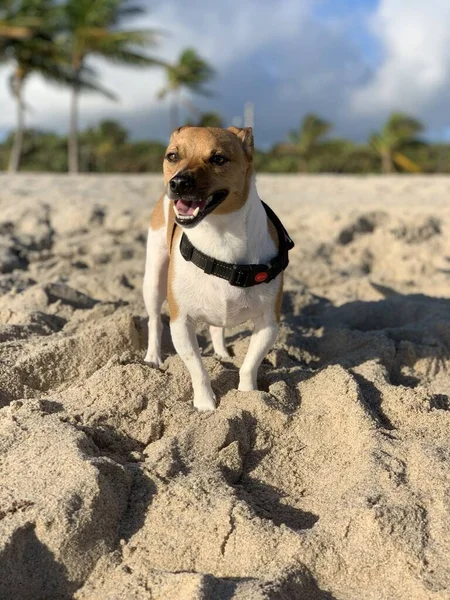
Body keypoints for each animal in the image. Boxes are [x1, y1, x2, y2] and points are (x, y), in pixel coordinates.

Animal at [142, 124, 294, 410]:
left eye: (218, 159)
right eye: (172, 156)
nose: (178, 182)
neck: (221, 235)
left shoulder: (268, 323)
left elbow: (249, 365)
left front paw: (248, 396)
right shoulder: (181, 323)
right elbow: (197, 368)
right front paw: (205, 405)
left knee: (216, 328)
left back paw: (223, 354)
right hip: (153, 279)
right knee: (155, 321)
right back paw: (153, 357)